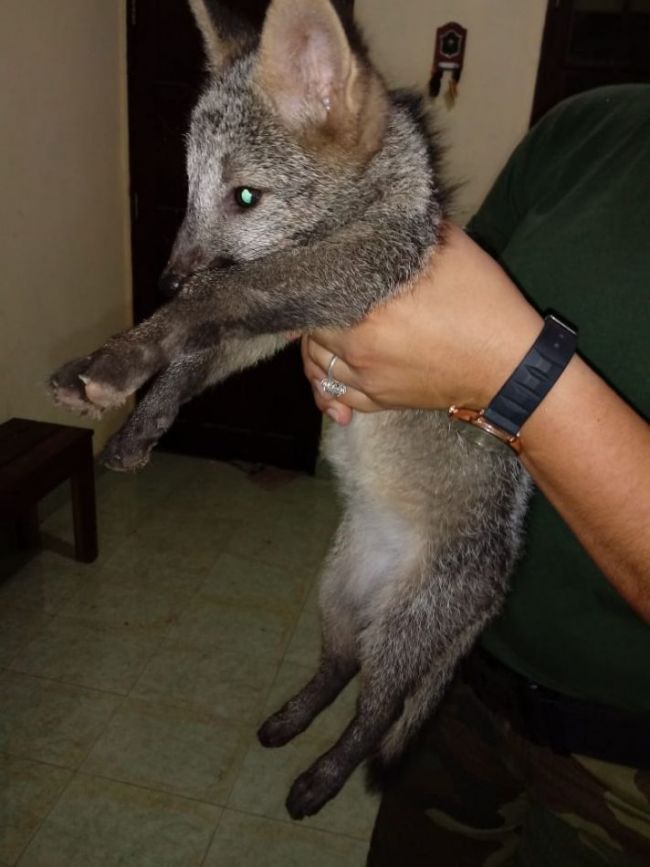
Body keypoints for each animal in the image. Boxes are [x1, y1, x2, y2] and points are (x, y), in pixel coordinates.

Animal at [48, 0, 531, 819]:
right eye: (186, 186)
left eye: (245, 197)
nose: (164, 279)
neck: (384, 203)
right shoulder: (280, 328)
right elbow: (191, 359)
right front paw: (134, 414)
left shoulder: (344, 280)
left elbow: (217, 296)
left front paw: (117, 363)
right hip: (338, 599)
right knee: (337, 670)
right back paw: (289, 722)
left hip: (399, 637)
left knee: (375, 717)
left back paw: (321, 780)